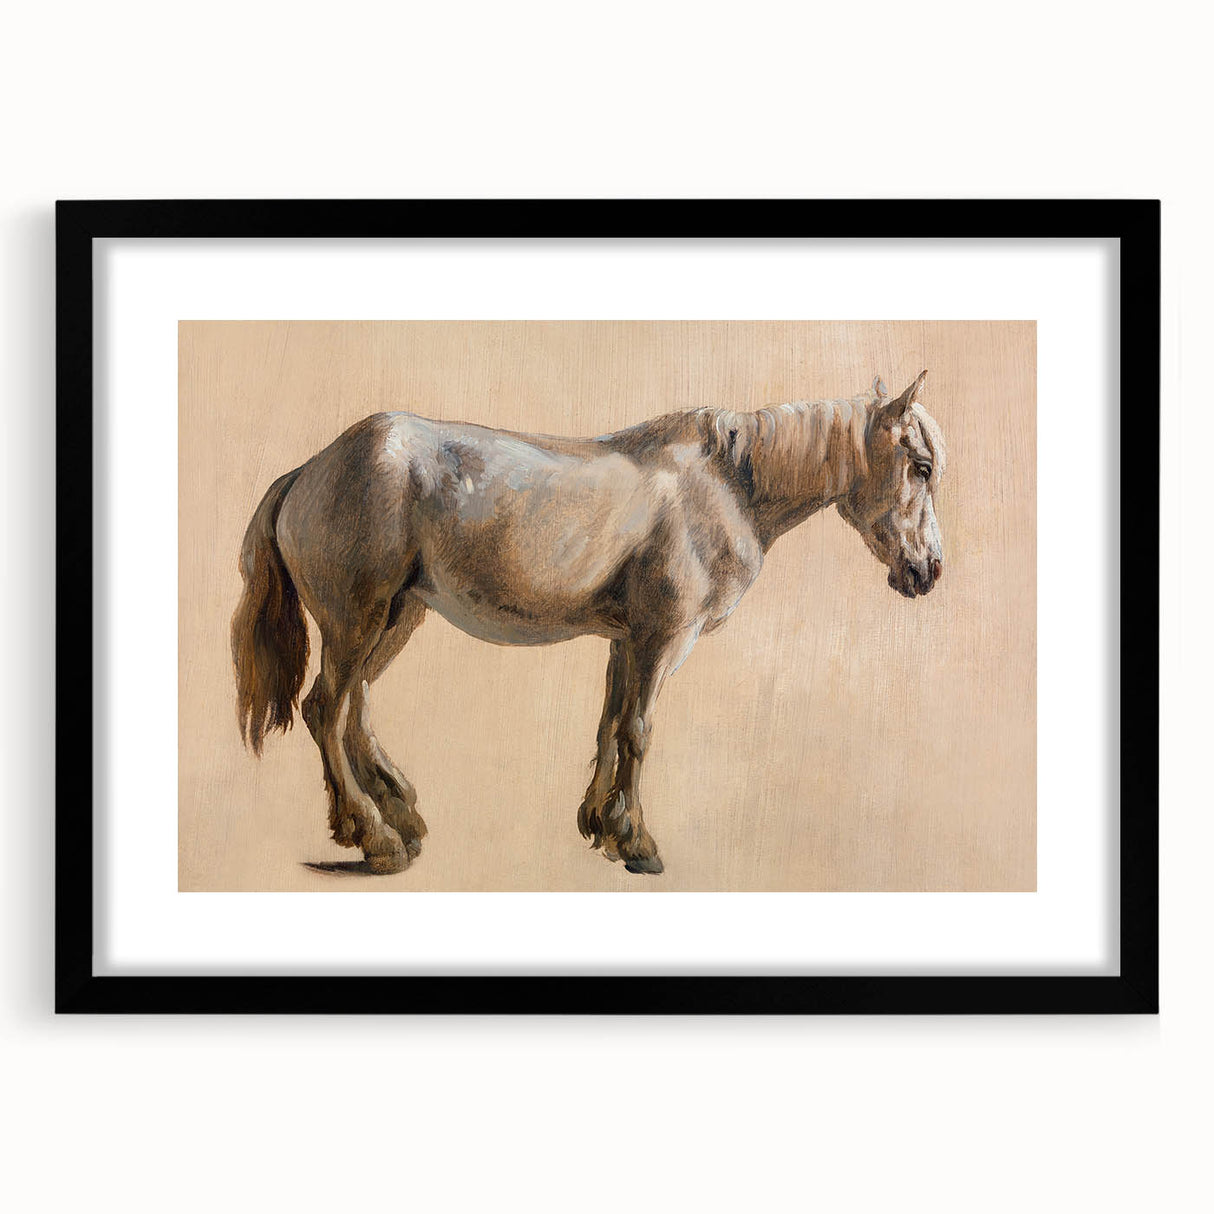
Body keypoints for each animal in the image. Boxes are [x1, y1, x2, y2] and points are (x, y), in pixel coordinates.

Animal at [232, 370, 946, 876]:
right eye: (922, 467)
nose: (929, 571)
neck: (724, 486)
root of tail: (309, 469)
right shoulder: (661, 639)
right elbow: (637, 731)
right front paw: (637, 841)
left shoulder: (628, 641)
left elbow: (608, 723)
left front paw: (600, 824)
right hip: (359, 620)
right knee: (326, 709)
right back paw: (376, 837)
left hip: (397, 618)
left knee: (353, 704)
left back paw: (392, 815)